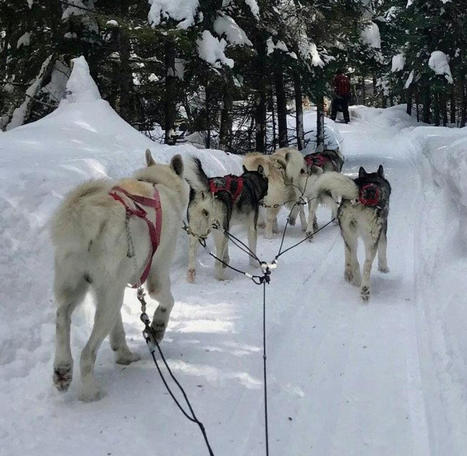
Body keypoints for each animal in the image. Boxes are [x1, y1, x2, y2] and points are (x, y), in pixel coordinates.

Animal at [50, 150, 188, 400]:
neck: (156, 183)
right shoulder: (157, 273)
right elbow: (167, 301)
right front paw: (157, 328)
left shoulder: (110, 287)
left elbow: (118, 329)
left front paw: (123, 354)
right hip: (109, 297)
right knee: (87, 353)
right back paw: (90, 391)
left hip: (80, 287)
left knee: (62, 316)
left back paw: (63, 369)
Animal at [310, 166, 392, 302]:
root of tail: (360, 193)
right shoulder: (382, 230)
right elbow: (383, 249)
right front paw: (384, 268)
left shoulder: (345, 236)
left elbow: (347, 255)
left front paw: (347, 273)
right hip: (371, 238)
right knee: (367, 264)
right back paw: (364, 289)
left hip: (349, 234)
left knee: (354, 259)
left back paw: (356, 280)